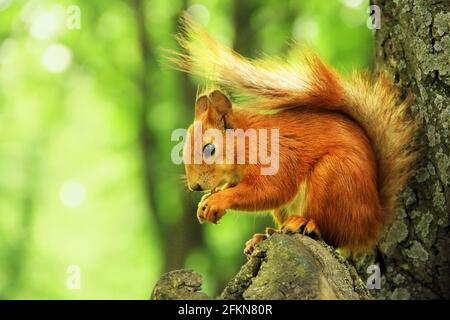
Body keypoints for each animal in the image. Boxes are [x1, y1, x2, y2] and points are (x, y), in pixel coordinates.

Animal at [171, 16, 414, 254]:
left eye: (209, 149)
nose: (195, 187)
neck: (247, 141)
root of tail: (373, 221)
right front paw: (205, 201)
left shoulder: (274, 157)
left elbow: (269, 190)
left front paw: (218, 200)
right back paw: (264, 236)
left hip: (334, 177)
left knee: (334, 234)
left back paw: (305, 223)